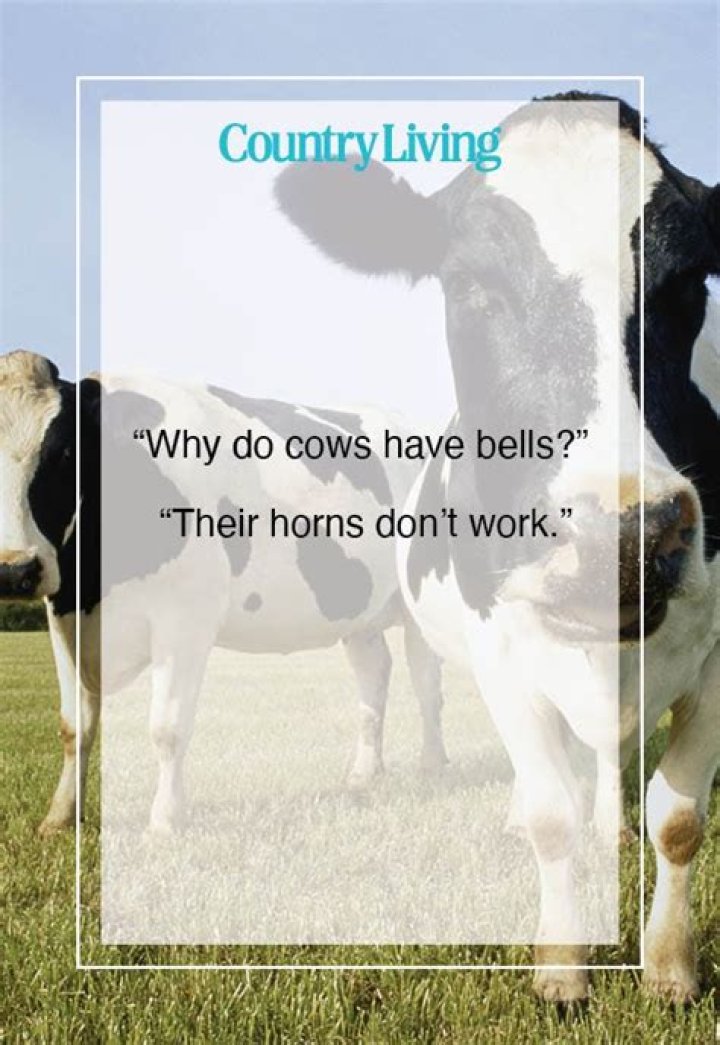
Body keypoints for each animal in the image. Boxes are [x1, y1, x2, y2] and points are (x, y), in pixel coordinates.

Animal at [0, 352, 448, 836]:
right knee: (374, 676)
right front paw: (59, 819)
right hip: (358, 612)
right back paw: (365, 773)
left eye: (64, 453)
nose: (14, 569)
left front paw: (165, 821)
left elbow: (167, 728)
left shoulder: (186, 618)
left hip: (420, 603)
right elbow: (73, 727)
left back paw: (432, 766)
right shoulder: (65, 617)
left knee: (426, 682)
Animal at [275, 93, 720, 1001]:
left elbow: (680, 820)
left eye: (691, 282)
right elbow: (552, 818)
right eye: (471, 285)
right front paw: (562, 969)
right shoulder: (503, 649)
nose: (625, 531)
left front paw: (669, 968)